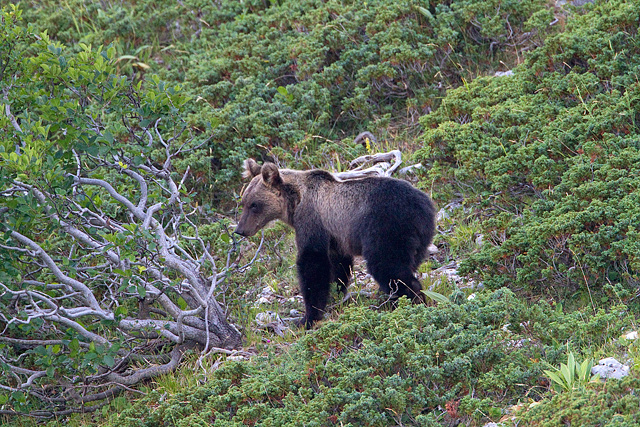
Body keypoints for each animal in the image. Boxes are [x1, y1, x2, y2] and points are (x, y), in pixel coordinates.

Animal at [234, 159, 436, 330]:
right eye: (244, 202)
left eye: (254, 204)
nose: (240, 230)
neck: (295, 202)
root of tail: (424, 205)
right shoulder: (336, 237)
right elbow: (338, 265)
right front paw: (337, 292)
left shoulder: (312, 221)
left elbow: (313, 264)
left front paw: (308, 317)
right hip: (418, 236)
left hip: (386, 225)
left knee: (387, 265)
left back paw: (409, 302)